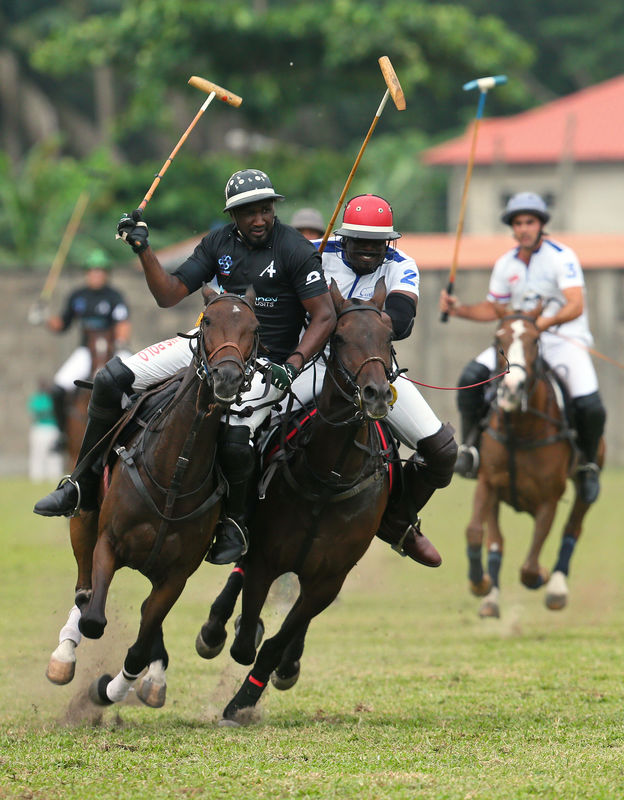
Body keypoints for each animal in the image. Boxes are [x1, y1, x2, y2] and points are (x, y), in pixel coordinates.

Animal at [197, 280, 398, 724]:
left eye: (389, 336)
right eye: (339, 338)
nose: (376, 394)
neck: (327, 478)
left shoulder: (329, 577)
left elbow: (277, 641)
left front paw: (244, 699)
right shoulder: (266, 559)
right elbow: (247, 635)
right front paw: (236, 638)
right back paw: (216, 627)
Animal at [464, 308, 604, 620]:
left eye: (536, 340)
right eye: (498, 338)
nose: (511, 388)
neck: (520, 429)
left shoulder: (549, 498)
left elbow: (529, 568)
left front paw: (541, 574)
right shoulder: (488, 484)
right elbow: (481, 535)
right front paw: (483, 587)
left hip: (587, 479)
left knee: (573, 527)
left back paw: (556, 589)